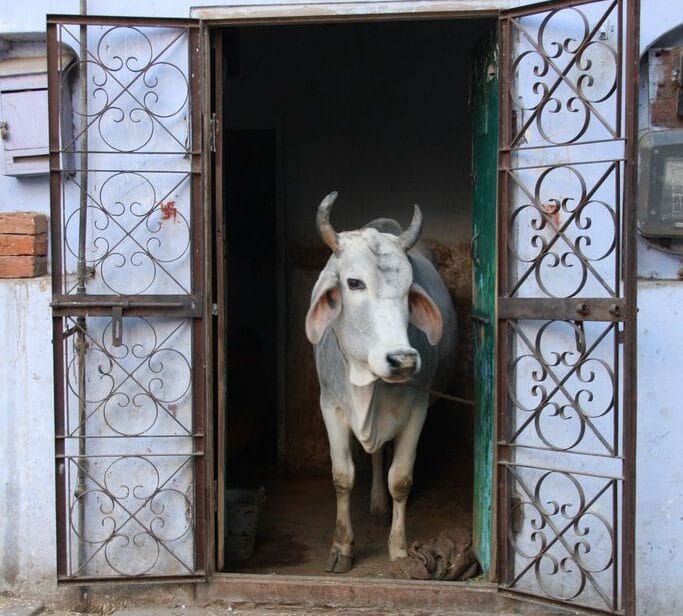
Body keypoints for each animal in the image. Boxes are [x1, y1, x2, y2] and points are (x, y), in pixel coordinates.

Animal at [305, 191, 457, 573]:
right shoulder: (330, 405)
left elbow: (400, 478)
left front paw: (399, 549)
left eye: (408, 288)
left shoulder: (417, 409)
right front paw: (342, 547)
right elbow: (342, 477)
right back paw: (375, 504)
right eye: (354, 282)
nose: (403, 360)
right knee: (374, 456)